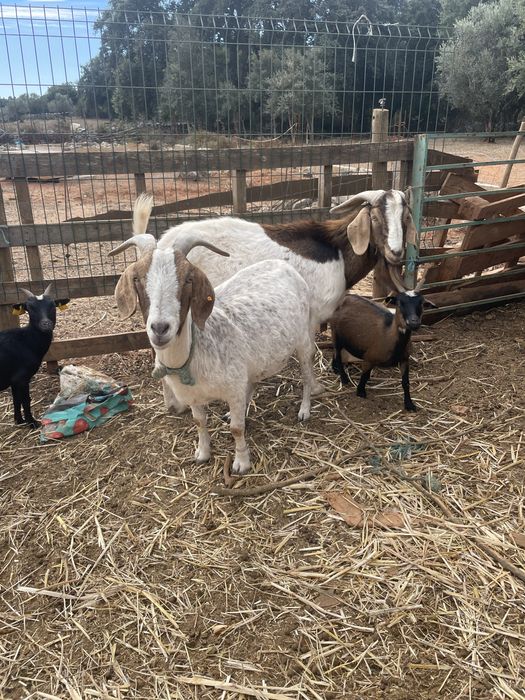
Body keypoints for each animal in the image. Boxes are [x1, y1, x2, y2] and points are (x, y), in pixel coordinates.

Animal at [0, 285, 69, 428]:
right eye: (30, 308)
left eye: (53, 305)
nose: (46, 324)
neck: (25, 340)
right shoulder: (21, 378)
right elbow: (26, 400)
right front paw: (32, 422)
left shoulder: (14, 380)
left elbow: (16, 400)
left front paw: (19, 421)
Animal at [110, 190, 416, 413]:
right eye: (375, 218)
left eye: (404, 219)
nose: (396, 252)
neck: (337, 251)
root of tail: (164, 241)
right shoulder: (312, 314)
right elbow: (309, 350)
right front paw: (316, 388)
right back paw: (175, 405)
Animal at [110, 211, 315, 475]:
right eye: (136, 278)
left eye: (188, 278)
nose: (160, 328)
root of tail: (284, 265)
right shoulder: (195, 396)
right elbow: (199, 421)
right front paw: (203, 453)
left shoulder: (233, 388)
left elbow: (237, 429)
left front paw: (241, 463)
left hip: (303, 340)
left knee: (307, 374)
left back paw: (304, 410)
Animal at [330, 275, 434, 412]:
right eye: (400, 303)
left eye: (422, 303)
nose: (414, 323)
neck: (388, 335)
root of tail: (345, 297)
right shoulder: (369, 358)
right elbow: (364, 376)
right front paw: (360, 391)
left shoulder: (405, 359)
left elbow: (405, 382)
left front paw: (409, 404)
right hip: (335, 333)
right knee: (337, 352)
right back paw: (343, 377)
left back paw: (335, 369)